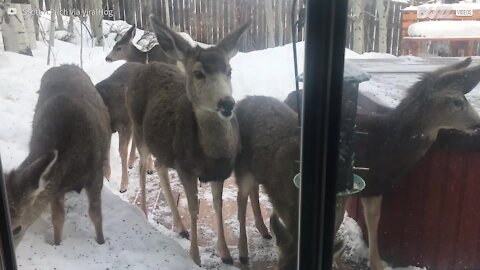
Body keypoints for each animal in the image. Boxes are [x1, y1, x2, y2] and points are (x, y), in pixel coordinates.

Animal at [4, 64, 110, 246]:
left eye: (17, 228)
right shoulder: (57, 188)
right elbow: (58, 218)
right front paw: (57, 243)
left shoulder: (95, 174)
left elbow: (96, 214)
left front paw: (101, 241)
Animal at [97, 62, 156, 192]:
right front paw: (107, 177)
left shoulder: (124, 125)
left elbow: (122, 151)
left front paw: (123, 185)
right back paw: (132, 161)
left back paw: (149, 168)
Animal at [125, 13, 249, 264]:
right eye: (198, 73)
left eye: (229, 70)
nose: (227, 103)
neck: (210, 154)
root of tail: (145, 67)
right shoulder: (185, 167)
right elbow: (194, 208)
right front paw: (195, 257)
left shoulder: (220, 172)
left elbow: (218, 205)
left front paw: (225, 254)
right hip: (139, 130)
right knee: (143, 167)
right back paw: (144, 212)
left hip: (164, 145)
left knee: (159, 166)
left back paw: (180, 226)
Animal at [235, 96, 300, 268]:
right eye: (280, 267)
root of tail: (241, 101)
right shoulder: (280, 200)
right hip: (242, 167)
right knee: (241, 200)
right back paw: (243, 253)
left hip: (256, 170)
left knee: (253, 190)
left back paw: (264, 230)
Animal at [354, 57, 480, 270]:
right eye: (457, 101)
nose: (478, 123)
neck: (388, 142)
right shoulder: (371, 182)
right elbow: (372, 219)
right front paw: (377, 263)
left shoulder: (372, 185)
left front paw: (376, 261)